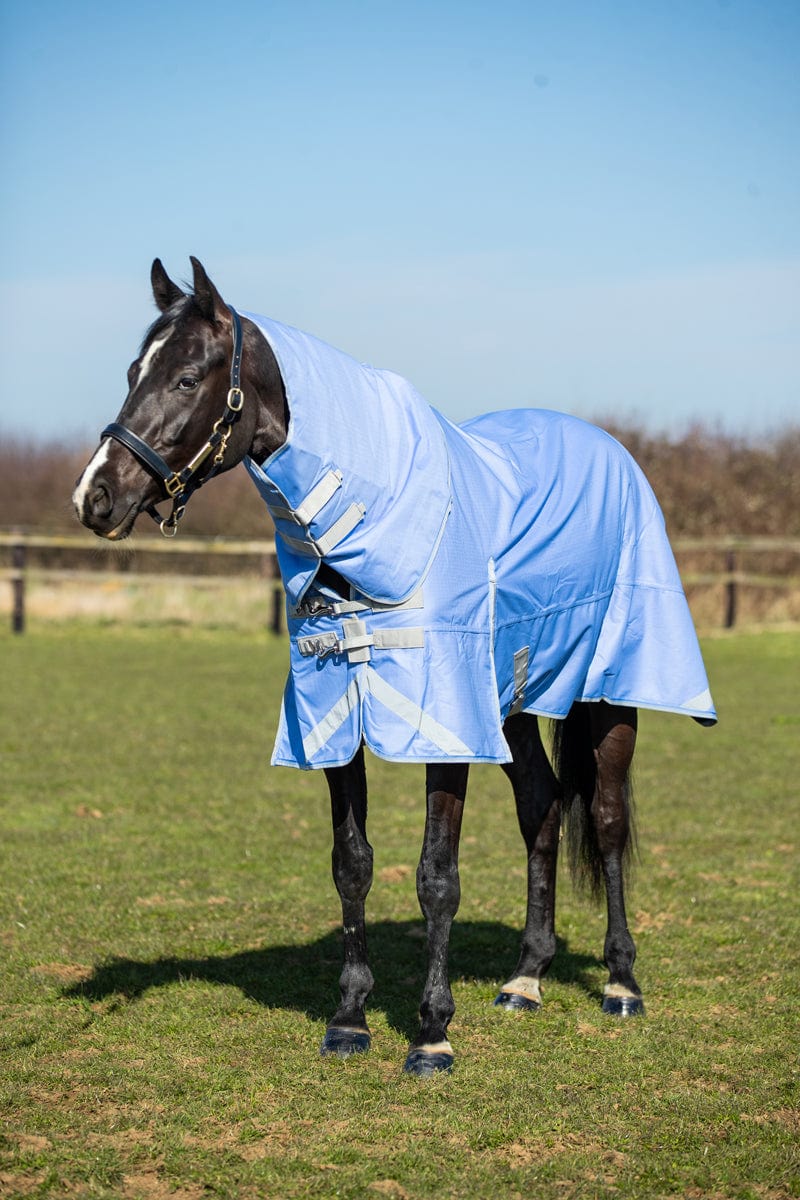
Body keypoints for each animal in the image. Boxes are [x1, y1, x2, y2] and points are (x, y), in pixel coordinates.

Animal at [73, 257, 716, 1076]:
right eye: (135, 372)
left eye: (187, 378)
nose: (95, 496)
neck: (375, 527)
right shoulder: (334, 717)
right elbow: (352, 862)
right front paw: (350, 1018)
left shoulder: (443, 726)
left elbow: (437, 877)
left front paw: (432, 1033)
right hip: (509, 702)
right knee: (540, 807)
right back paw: (525, 978)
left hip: (606, 695)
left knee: (603, 819)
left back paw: (621, 983)